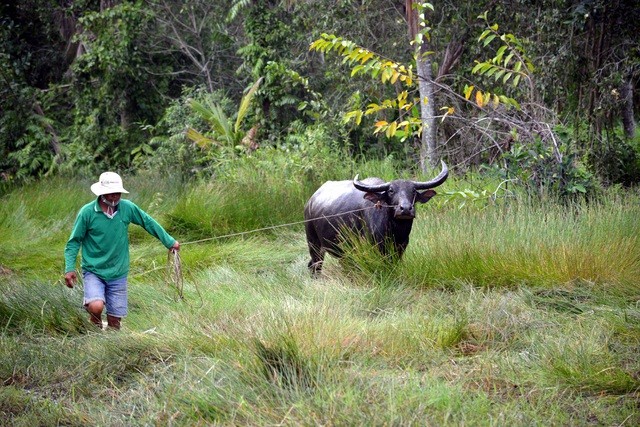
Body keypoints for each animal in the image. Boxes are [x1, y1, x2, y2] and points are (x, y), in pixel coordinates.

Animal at [302, 160, 448, 274]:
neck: (394, 232)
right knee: (315, 265)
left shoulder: (399, 250)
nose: (405, 209)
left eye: (413, 191)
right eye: (391, 191)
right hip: (313, 243)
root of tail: (310, 202)